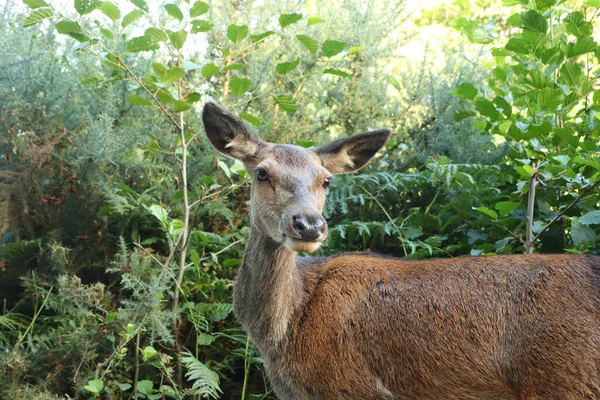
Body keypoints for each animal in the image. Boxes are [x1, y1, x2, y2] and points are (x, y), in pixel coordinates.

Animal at [202, 101, 600, 398]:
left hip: (566, 381)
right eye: (262, 173)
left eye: (326, 180)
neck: (282, 333)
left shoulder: (353, 386)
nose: (309, 224)